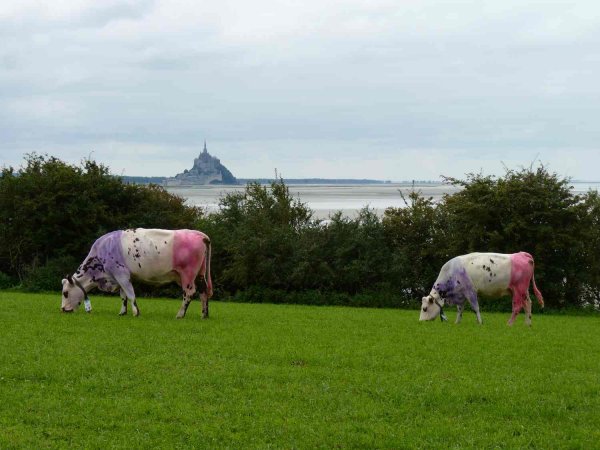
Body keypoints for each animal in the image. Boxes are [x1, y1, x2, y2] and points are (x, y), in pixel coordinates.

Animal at [60, 229, 213, 320]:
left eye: (65, 293)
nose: (63, 309)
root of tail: (200, 234)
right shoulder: (119, 278)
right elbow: (123, 296)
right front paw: (122, 312)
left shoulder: (121, 274)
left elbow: (130, 294)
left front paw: (136, 312)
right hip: (200, 274)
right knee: (203, 291)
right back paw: (204, 314)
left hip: (187, 274)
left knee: (189, 293)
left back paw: (180, 314)